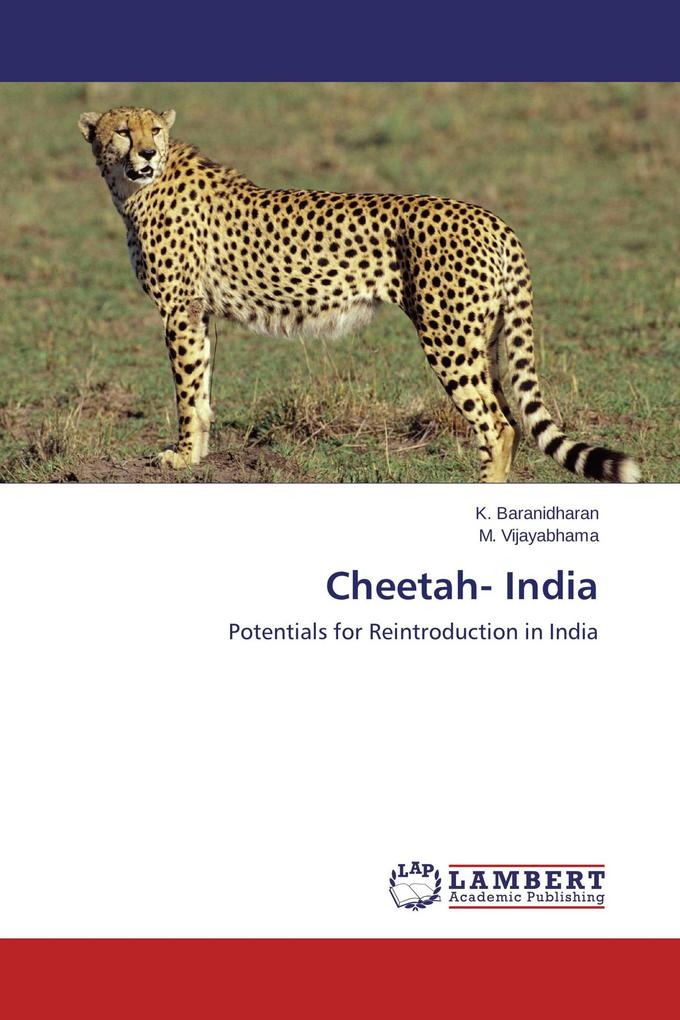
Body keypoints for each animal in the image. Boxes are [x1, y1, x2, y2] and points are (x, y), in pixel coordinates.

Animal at [78, 105, 640, 483]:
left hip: (448, 337)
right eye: (123, 131)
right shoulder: (198, 312)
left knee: (497, 425)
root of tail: (492, 218)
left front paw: (179, 456)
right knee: (513, 419)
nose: (147, 152)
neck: (135, 187)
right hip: (485, 336)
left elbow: (186, 388)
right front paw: (195, 455)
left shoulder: (178, 309)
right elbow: (201, 387)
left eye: (154, 130)